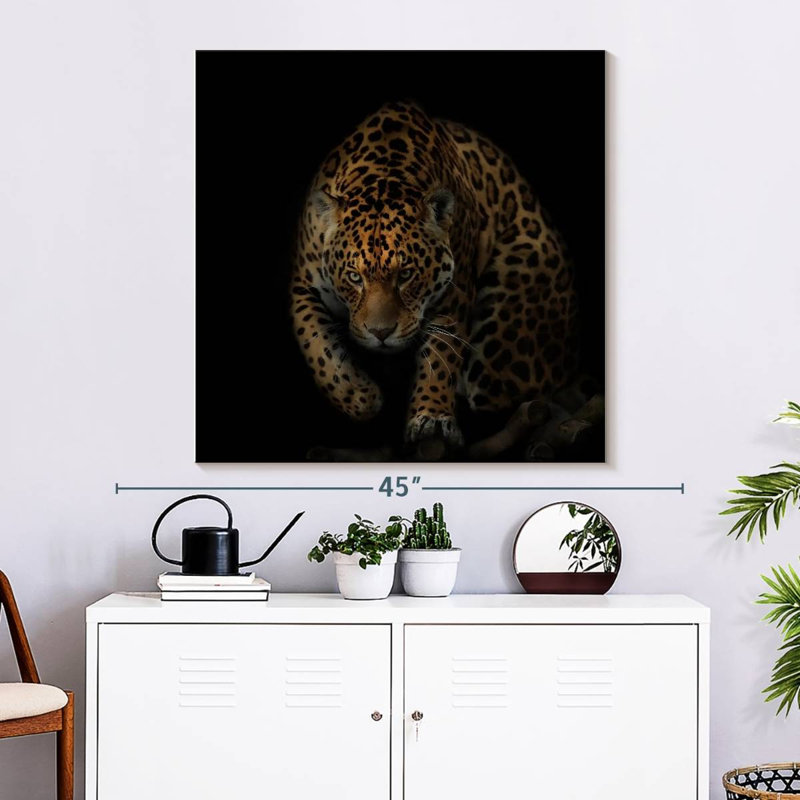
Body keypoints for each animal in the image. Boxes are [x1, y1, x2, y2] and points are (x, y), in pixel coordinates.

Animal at [290, 100, 578, 451]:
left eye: (406, 275)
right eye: (355, 278)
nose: (381, 333)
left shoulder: (456, 290)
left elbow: (441, 357)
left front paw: (431, 417)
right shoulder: (302, 285)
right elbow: (316, 345)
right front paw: (361, 396)